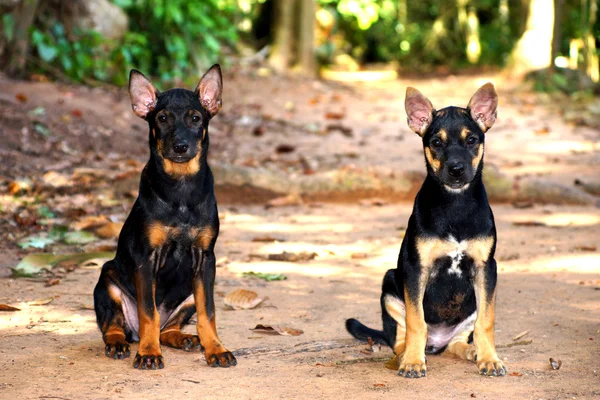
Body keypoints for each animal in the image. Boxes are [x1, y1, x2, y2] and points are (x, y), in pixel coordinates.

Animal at [92, 65, 236, 368]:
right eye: (162, 118)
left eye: (195, 118)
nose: (180, 146)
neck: (180, 188)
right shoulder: (147, 257)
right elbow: (149, 311)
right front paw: (148, 353)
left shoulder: (205, 258)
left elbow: (209, 312)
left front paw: (216, 349)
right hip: (107, 280)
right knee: (114, 325)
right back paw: (121, 343)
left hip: (190, 292)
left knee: (168, 326)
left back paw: (183, 338)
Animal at [346, 83, 506, 376]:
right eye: (436, 142)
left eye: (471, 140)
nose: (456, 170)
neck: (455, 204)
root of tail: (436, 342)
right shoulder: (416, 268)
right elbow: (416, 321)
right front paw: (412, 361)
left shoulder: (486, 268)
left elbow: (486, 322)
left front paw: (490, 359)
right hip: (390, 286)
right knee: (400, 337)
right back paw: (406, 355)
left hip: (469, 308)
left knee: (458, 341)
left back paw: (472, 351)